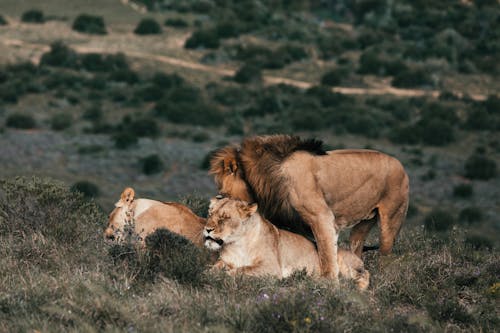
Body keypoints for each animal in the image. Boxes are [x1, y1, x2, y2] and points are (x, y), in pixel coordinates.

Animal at [203, 197, 372, 288]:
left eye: (224, 218)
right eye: (210, 214)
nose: (207, 229)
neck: (236, 244)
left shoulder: (271, 267)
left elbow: (242, 270)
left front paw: (225, 274)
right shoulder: (224, 260)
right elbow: (214, 268)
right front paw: (211, 273)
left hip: (341, 261)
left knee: (364, 273)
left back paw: (357, 288)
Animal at [209, 134, 408, 278]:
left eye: (223, 190)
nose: (217, 197)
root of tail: (401, 165)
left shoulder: (322, 217)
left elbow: (326, 255)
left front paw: (328, 285)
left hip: (391, 221)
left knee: (386, 257)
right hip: (361, 226)